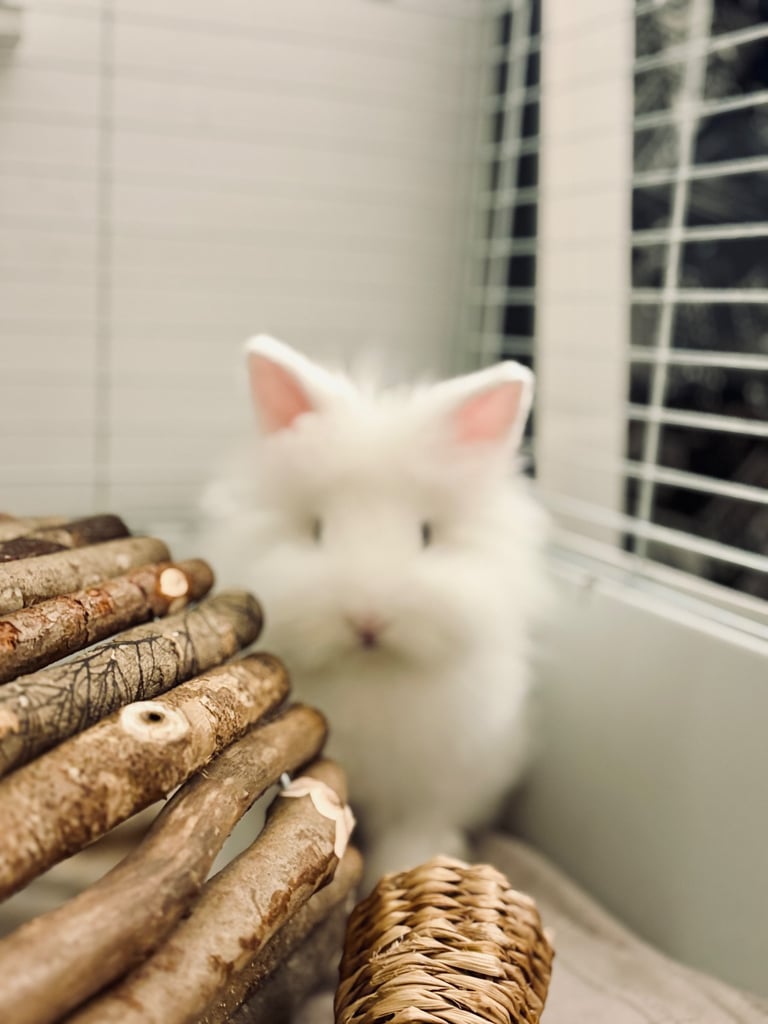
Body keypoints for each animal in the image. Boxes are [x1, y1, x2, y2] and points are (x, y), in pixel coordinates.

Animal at [200, 335, 549, 887]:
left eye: (426, 534)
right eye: (317, 529)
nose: (367, 620)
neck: (370, 673)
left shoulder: (435, 781)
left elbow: (414, 834)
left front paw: (408, 874)